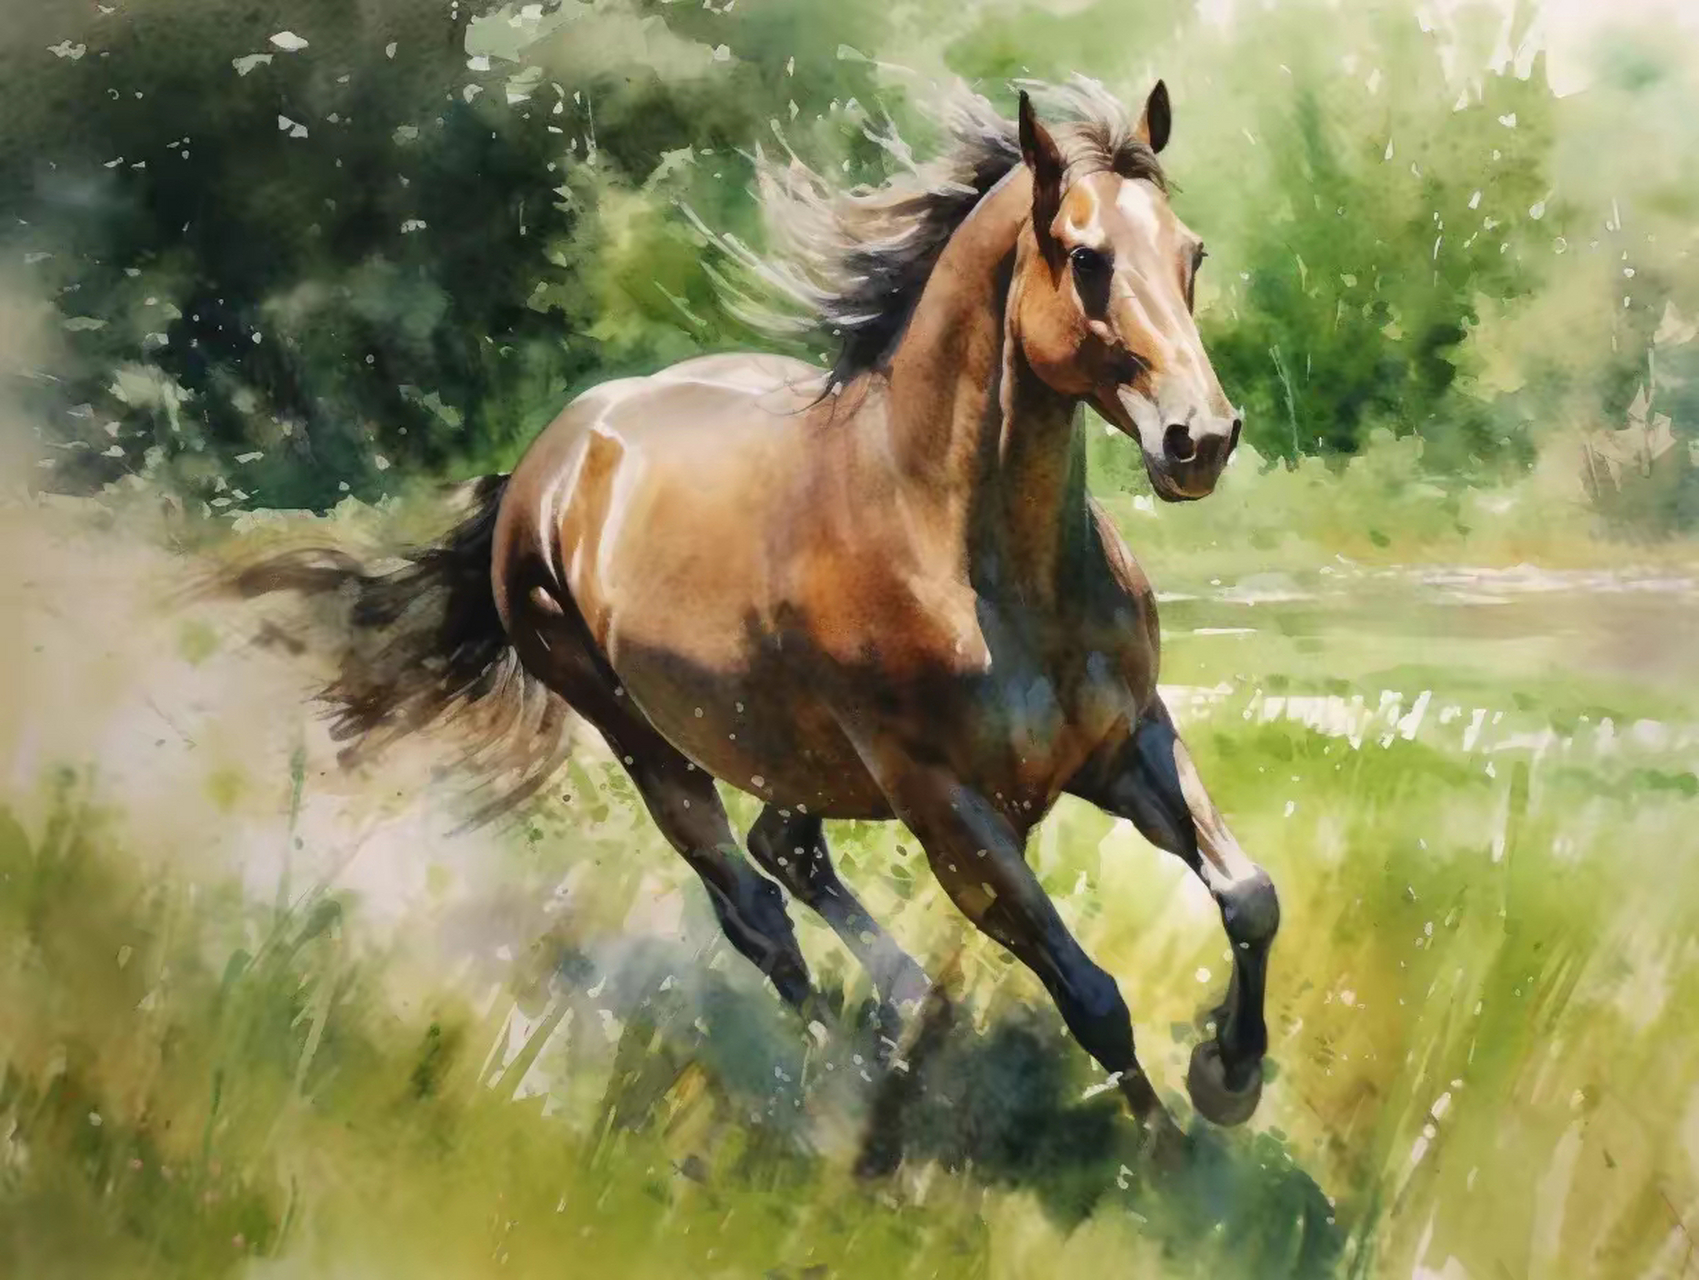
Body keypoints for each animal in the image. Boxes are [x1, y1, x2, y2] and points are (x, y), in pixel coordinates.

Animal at [231, 77, 1279, 1150]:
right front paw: (1173, 1162)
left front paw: (1226, 1075)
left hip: (786, 744)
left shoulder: (1125, 740)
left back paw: (904, 1012)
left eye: (1190, 252)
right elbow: (1091, 995)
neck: (977, 566)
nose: (1199, 438)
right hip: (645, 739)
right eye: (1084, 257)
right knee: (755, 912)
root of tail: (546, 463)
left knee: (791, 854)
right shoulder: (948, 812)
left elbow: (1247, 897)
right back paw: (841, 1086)